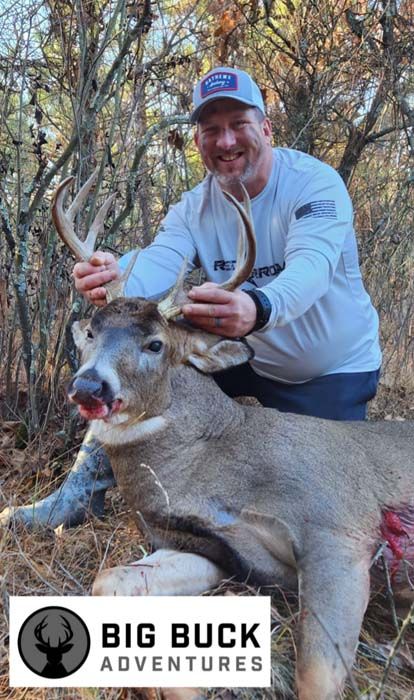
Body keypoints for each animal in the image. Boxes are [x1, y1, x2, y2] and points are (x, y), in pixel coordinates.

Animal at [51, 170, 414, 700]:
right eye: (93, 333)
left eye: (155, 344)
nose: (89, 386)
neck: (215, 470)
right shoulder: (214, 551)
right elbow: (109, 582)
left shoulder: (339, 527)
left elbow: (315, 675)